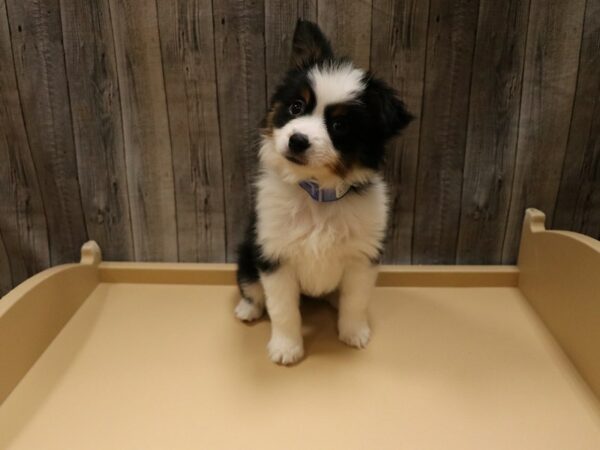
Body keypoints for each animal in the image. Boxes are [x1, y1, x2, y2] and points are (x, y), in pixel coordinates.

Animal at [234, 22, 412, 366]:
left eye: (339, 125)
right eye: (296, 107)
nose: (298, 140)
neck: (317, 193)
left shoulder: (361, 256)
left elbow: (356, 300)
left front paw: (354, 332)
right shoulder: (273, 254)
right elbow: (283, 309)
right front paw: (286, 347)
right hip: (248, 253)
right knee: (252, 288)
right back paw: (248, 308)